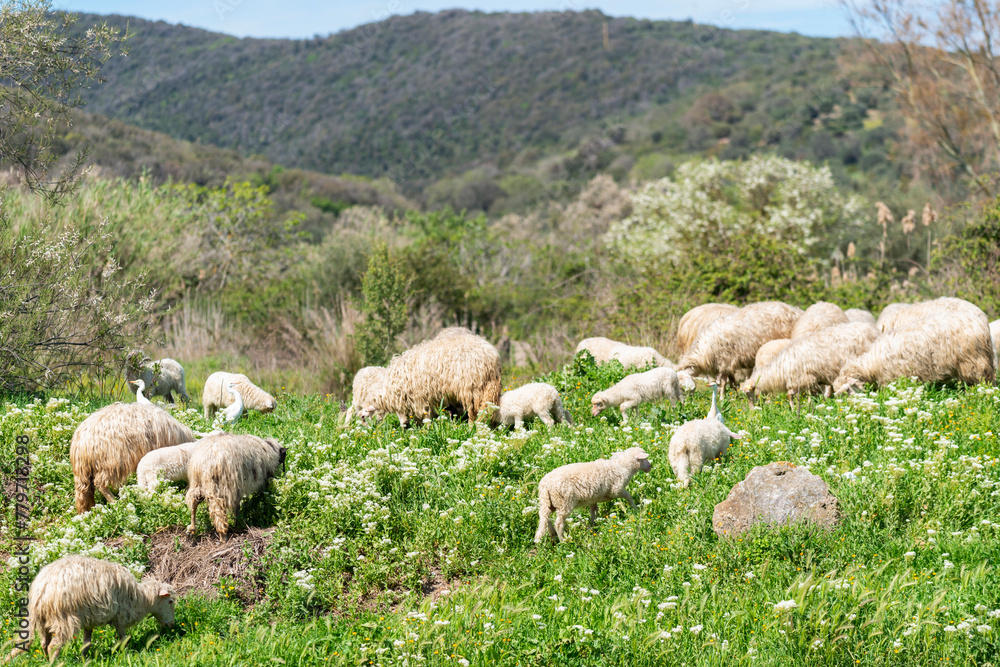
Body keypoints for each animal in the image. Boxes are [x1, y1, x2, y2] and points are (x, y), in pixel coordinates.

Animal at [5, 555, 175, 663]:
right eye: (170, 601)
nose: (171, 625)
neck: (140, 599)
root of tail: (40, 590)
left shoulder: (89, 620)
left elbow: (87, 643)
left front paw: (84, 659)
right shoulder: (120, 616)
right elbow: (123, 637)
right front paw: (126, 652)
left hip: (43, 621)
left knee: (44, 644)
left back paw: (46, 661)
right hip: (64, 618)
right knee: (54, 645)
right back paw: (53, 663)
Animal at [360, 327, 501, 427]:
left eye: (363, 417)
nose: (368, 430)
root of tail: (491, 357)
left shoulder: (418, 398)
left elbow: (425, 417)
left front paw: (425, 430)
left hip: (471, 388)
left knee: (473, 412)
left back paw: (472, 428)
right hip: (489, 387)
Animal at [740, 322, 879, 406]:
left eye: (749, 394)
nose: (752, 411)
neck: (780, 370)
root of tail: (870, 328)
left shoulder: (804, 380)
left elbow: (792, 395)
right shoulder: (806, 381)